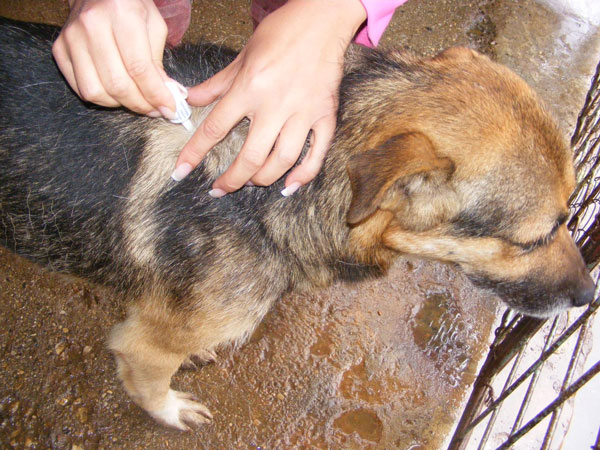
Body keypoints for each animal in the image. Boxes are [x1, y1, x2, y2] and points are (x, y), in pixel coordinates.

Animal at [0, 17, 596, 430]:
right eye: (535, 237)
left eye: (570, 212)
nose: (589, 295)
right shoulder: (140, 347)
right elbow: (148, 381)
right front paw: (169, 410)